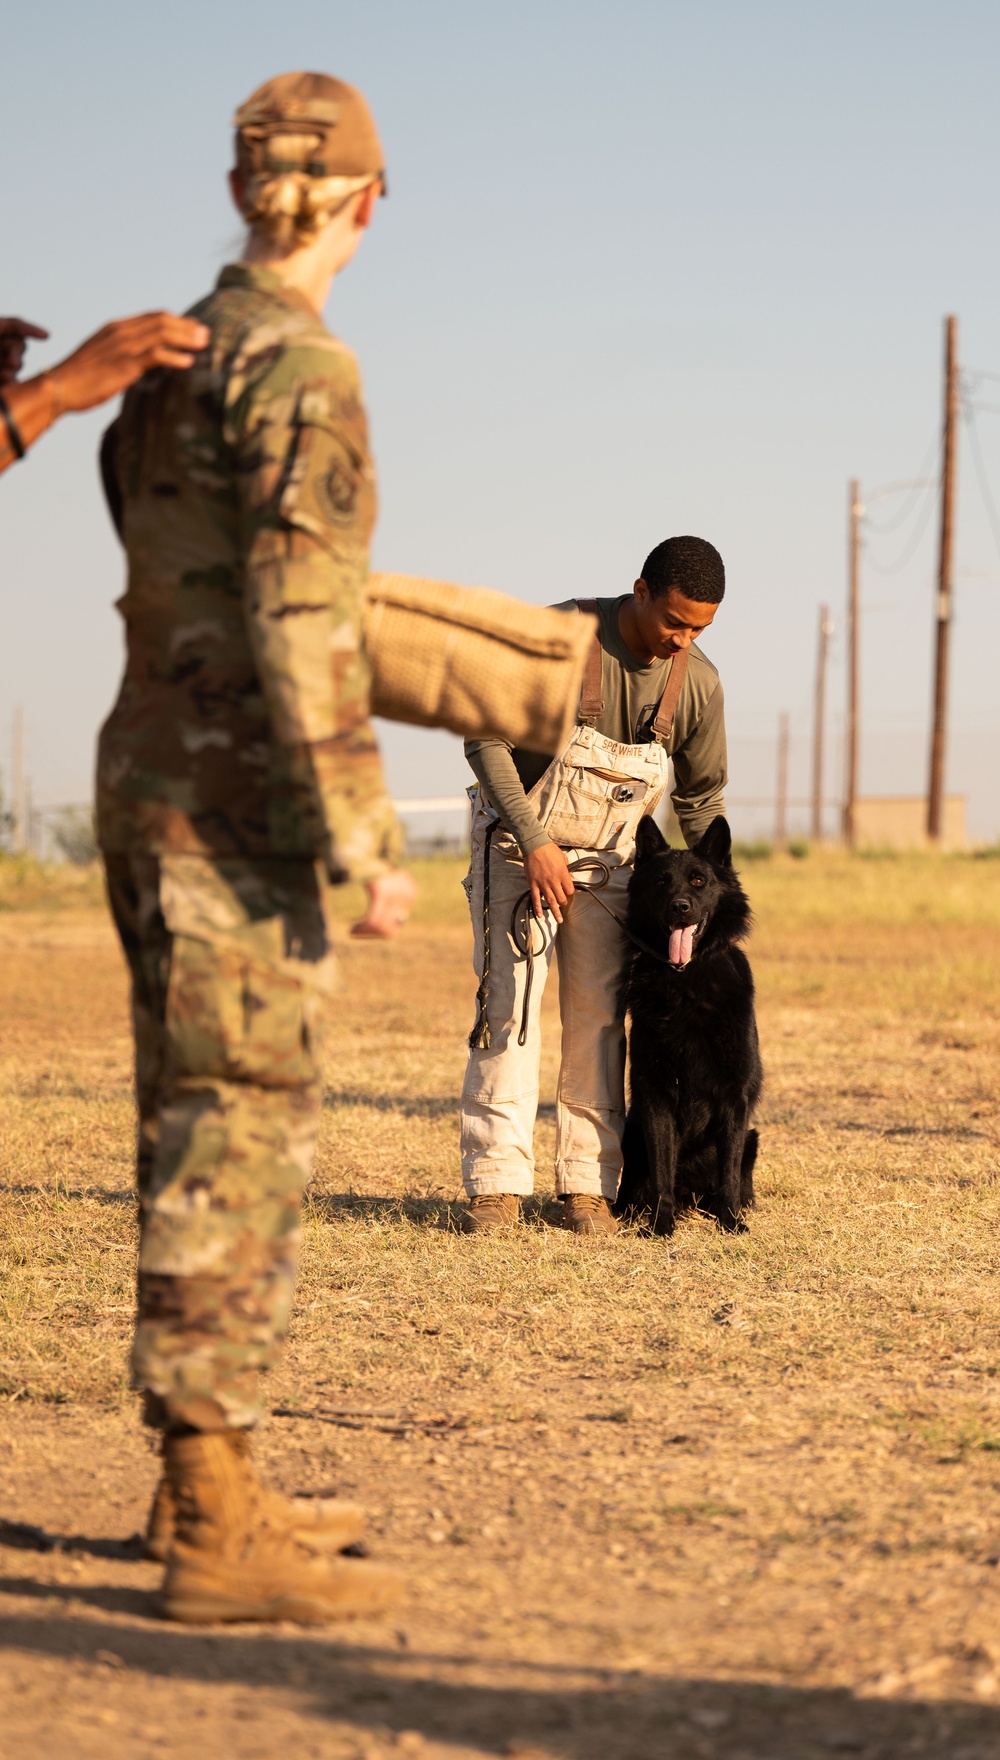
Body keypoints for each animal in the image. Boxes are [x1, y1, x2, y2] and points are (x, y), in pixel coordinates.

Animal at [612, 813, 760, 1239]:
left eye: (698, 881)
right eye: (662, 882)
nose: (681, 907)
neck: (686, 981)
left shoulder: (733, 1098)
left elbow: (728, 1171)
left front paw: (730, 1221)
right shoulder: (655, 1096)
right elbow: (662, 1170)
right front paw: (662, 1225)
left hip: (752, 1136)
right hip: (630, 1133)